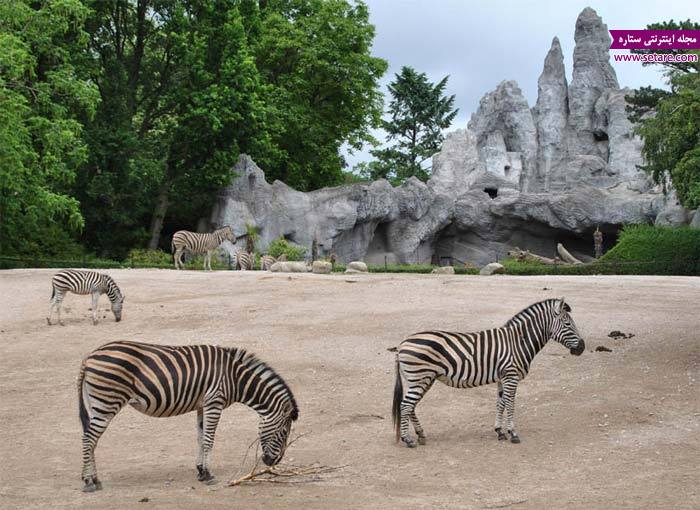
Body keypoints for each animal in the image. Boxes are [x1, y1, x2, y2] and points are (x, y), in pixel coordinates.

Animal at [76, 340, 298, 492]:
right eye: (284, 432)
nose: (273, 462)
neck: (235, 378)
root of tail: (89, 357)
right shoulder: (214, 402)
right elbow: (209, 440)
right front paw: (208, 474)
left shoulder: (202, 405)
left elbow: (200, 438)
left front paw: (200, 470)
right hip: (107, 401)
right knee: (88, 440)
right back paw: (89, 482)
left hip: (95, 403)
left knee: (90, 439)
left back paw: (94, 479)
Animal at [394, 296, 584, 448]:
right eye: (568, 324)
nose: (582, 348)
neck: (518, 342)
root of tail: (402, 343)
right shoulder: (511, 376)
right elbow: (511, 404)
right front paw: (513, 433)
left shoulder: (503, 377)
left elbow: (501, 403)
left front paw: (499, 431)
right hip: (420, 377)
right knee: (405, 405)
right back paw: (407, 440)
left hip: (425, 379)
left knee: (411, 406)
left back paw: (420, 434)